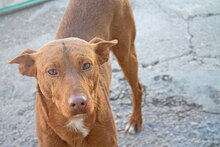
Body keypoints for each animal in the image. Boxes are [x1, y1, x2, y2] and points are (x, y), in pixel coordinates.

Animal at [8, 0, 143, 147]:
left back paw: (135, 121)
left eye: (86, 65)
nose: (78, 103)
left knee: (137, 88)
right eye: (52, 71)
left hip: (127, 56)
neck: (74, 125)